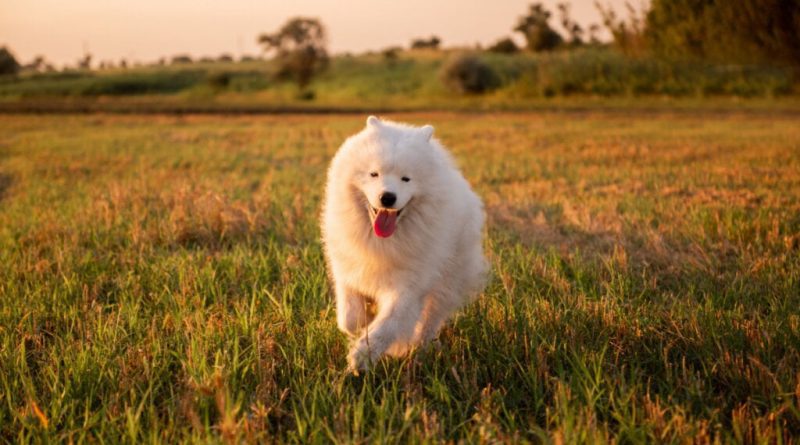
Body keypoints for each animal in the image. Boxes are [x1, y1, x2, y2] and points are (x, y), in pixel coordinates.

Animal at [320, 115, 488, 372]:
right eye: (374, 174)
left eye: (406, 179)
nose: (387, 197)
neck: (383, 241)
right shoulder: (347, 268)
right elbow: (349, 317)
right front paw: (362, 324)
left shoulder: (408, 285)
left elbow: (389, 323)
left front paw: (362, 355)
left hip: (447, 281)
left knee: (430, 320)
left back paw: (417, 348)